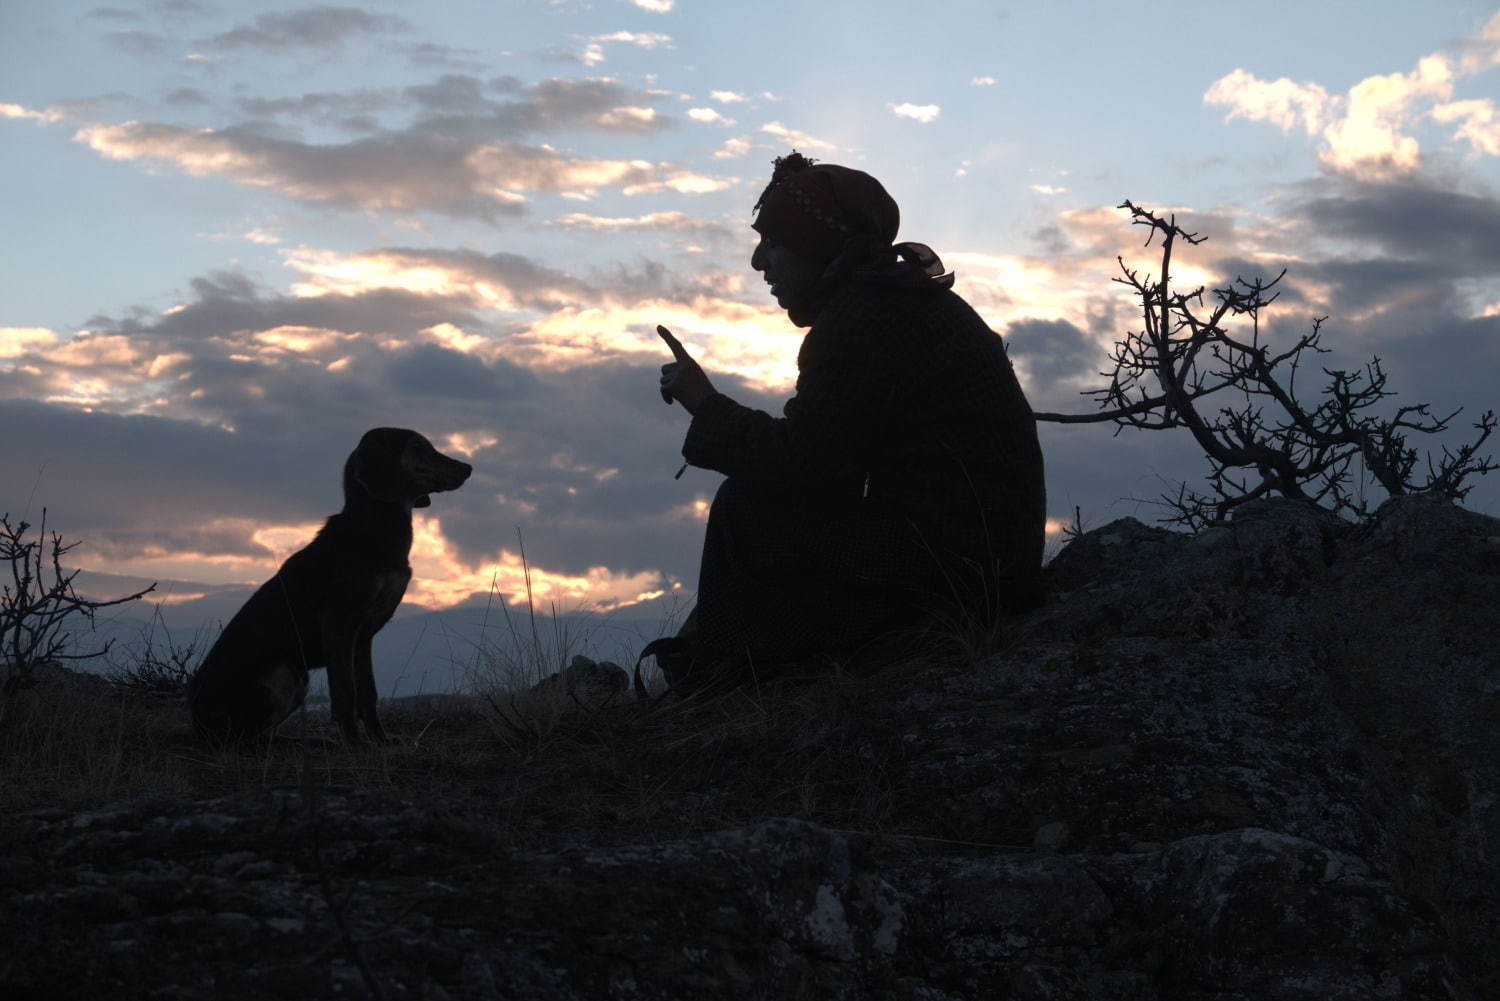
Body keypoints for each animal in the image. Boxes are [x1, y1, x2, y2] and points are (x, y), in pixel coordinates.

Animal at [187, 426, 471, 747]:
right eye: (418, 447)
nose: (468, 468)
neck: (374, 527)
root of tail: (196, 719)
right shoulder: (340, 623)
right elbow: (346, 694)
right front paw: (356, 744)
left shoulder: (363, 636)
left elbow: (368, 695)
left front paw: (381, 739)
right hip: (284, 674)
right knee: (246, 738)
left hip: (298, 679)